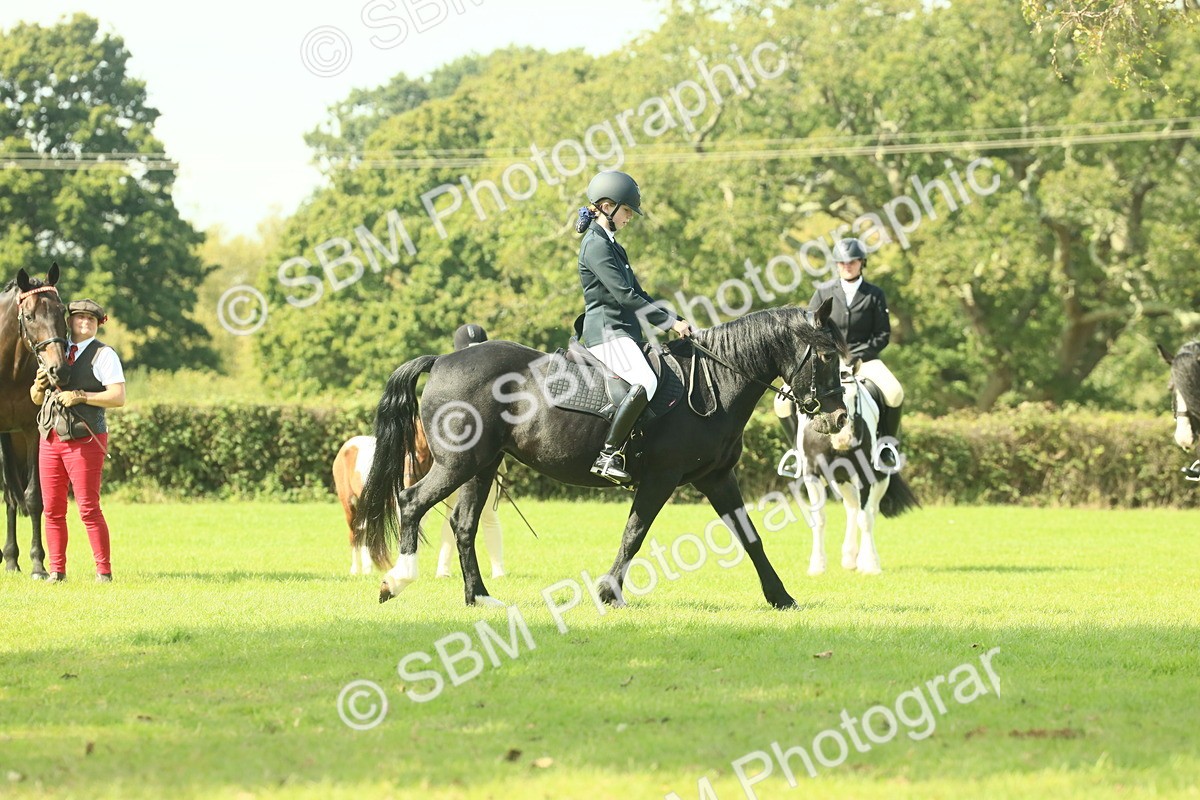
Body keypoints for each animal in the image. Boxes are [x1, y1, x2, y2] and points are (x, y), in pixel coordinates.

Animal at [332, 427, 433, 574]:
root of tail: (347, 446)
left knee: (364, 531)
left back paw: (367, 569)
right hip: (349, 506)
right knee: (354, 534)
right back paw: (355, 569)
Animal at [358, 301, 850, 610]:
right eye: (827, 356)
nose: (839, 418)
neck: (712, 383)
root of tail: (443, 360)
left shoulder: (717, 477)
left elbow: (750, 537)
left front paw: (781, 597)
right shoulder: (661, 478)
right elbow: (634, 534)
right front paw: (609, 593)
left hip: (482, 466)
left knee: (463, 526)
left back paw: (479, 598)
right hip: (457, 464)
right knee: (411, 502)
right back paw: (396, 581)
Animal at [777, 362, 920, 576]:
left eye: (855, 398)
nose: (843, 439)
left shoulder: (864, 474)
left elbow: (865, 518)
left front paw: (870, 565)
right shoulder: (812, 474)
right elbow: (819, 518)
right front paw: (817, 565)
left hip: (880, 477)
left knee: (870, 511)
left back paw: (863, 559)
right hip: (841, 478)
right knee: (852, 508)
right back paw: (850, 557)